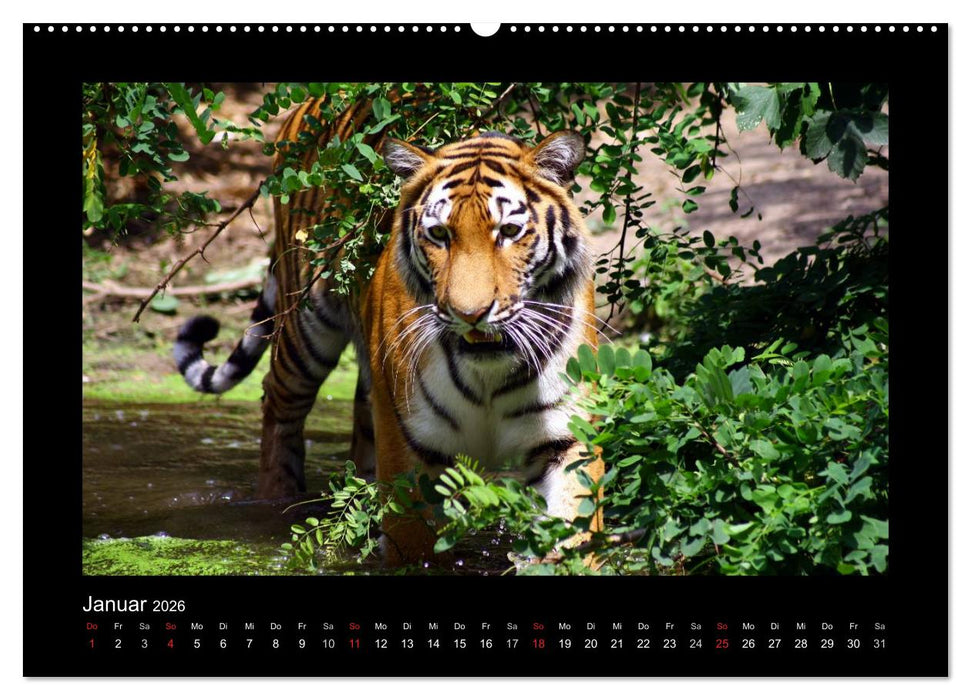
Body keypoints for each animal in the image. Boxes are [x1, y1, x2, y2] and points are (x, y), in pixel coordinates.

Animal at [173, 94, 604, 564]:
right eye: (439, 234)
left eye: (509, 231)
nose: (470, 313)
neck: (488, 370)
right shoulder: (409, 443)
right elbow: (410, 542)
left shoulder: (565, 437)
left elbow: (574, 529)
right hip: (305, 325)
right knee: (279, 406)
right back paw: (277, 497)